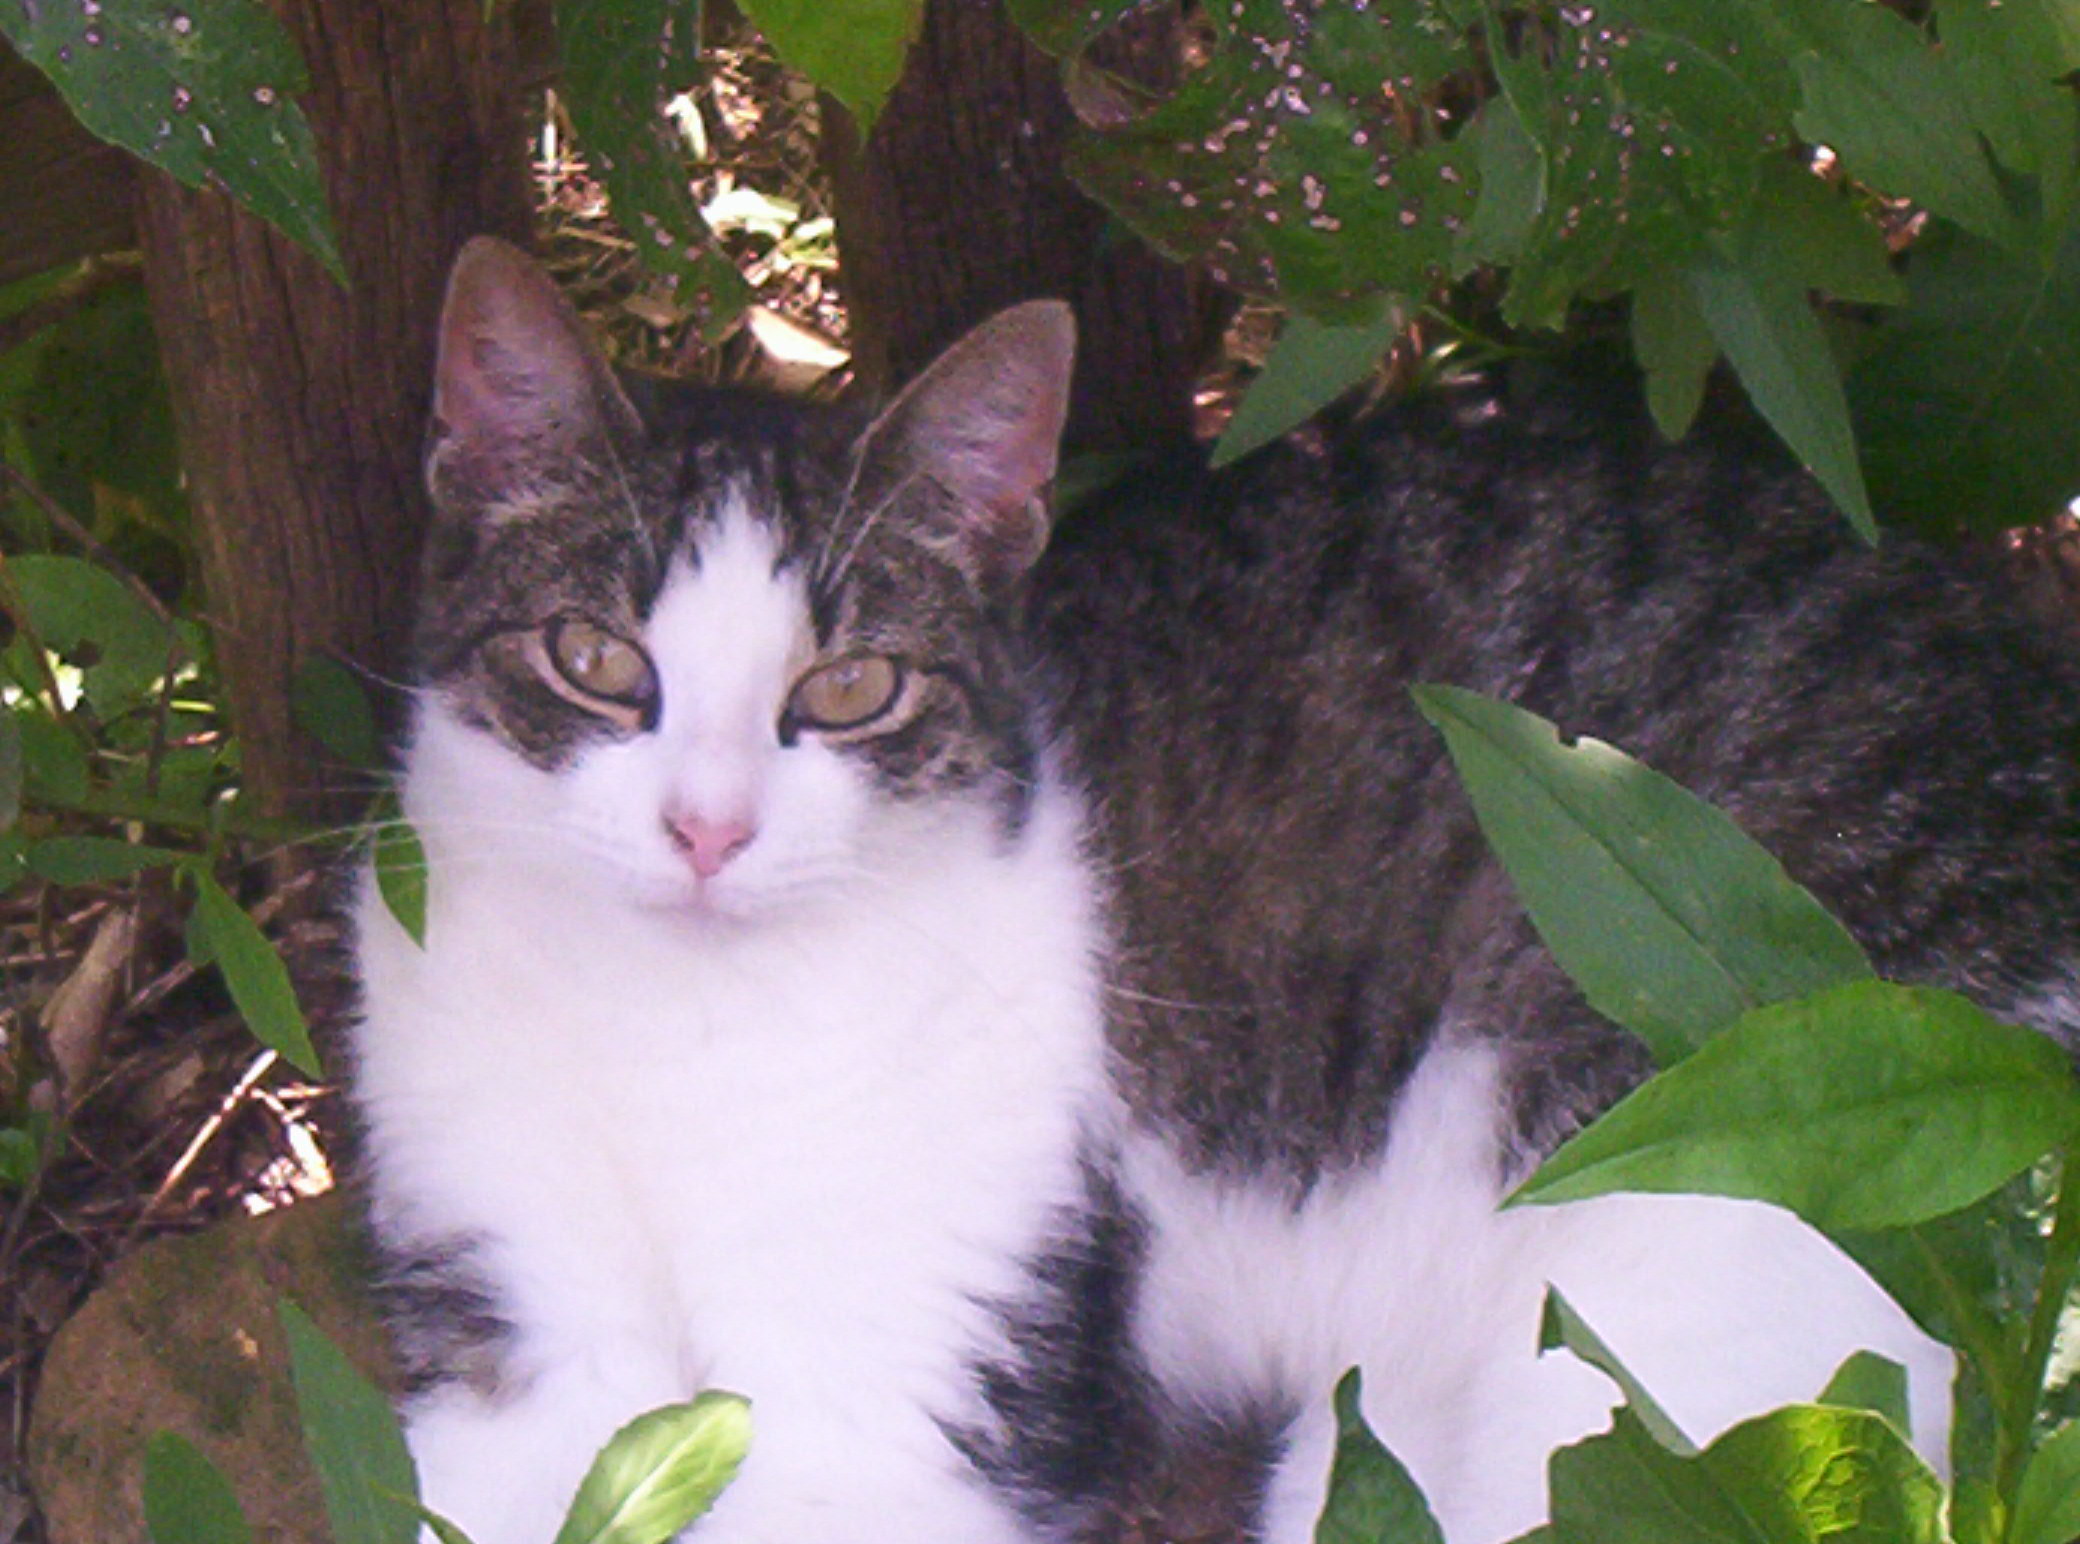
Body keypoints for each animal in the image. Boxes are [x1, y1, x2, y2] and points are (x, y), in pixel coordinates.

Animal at [345, 233, 2080, 1544]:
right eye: (594, 660)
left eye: (848, 691)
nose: (706, 829)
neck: (665, 1019)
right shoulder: (522, 1356)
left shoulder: (892, 1413)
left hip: (1688, 1316)